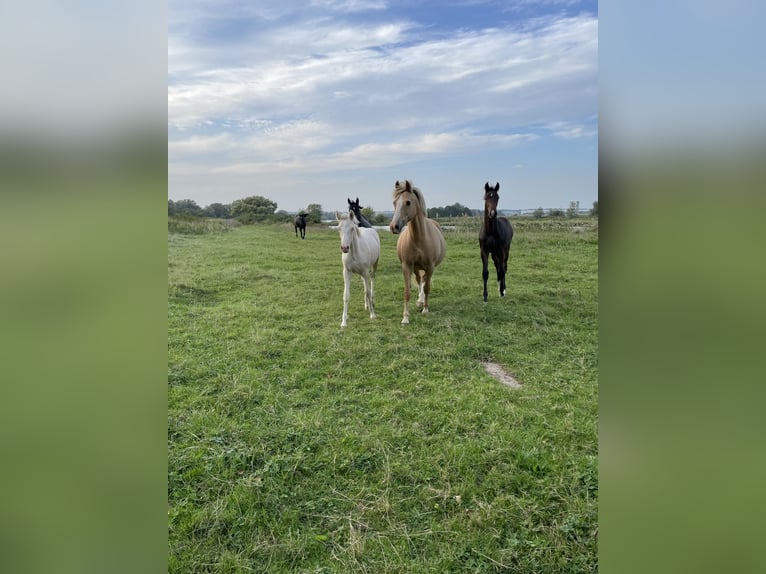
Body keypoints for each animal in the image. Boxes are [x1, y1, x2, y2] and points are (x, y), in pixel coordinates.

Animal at [392, 180, 448, 324]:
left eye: (408, 202)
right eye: (394, 202)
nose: (394, 226)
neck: (419, 237)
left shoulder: (430, 266)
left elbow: (427, 288)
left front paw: (425, 310)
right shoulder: (407, 266)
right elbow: (407, 291)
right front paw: (405, 318)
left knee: (424, 280)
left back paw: (422, 302)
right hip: (416, 267)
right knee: (419, 280)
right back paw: (419, 300)